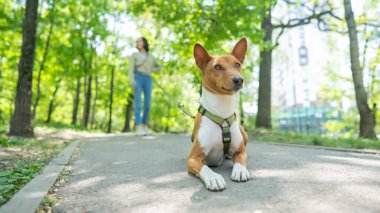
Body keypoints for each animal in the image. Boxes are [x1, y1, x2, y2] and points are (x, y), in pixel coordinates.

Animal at [188, 38, 249, 191]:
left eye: (237, 64)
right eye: (217, 67)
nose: (239, 79)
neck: (222, 113)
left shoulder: (241, 151)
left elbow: (241, 159)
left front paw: (240, 170)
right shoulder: (193, 158)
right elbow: (205, 168)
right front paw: (214, 178)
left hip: (244, 133)